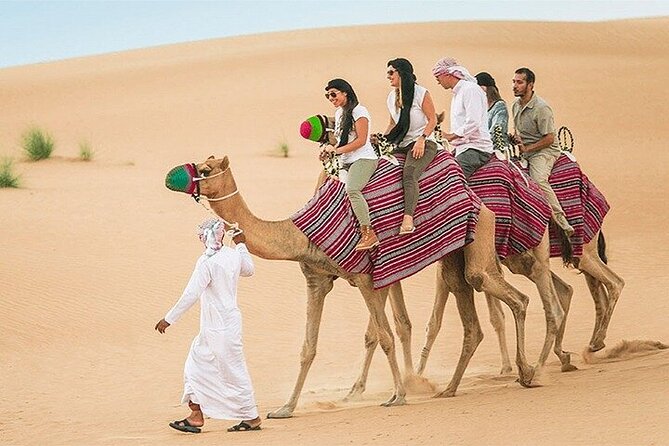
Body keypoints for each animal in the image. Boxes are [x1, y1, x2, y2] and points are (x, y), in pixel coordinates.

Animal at [165, 155, 539, 419]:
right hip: (453, 255)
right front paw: (285, 408)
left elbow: (384, 336)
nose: (172, 176)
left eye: (205, 168)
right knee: (473, 313)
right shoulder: (316, 280)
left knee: (510, 295)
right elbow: (308, 347)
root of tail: (475, 195)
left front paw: (398, 396)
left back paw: (526, 372)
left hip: (480, 237)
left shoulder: (364, 278)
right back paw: (451, 388)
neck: (298, 233)